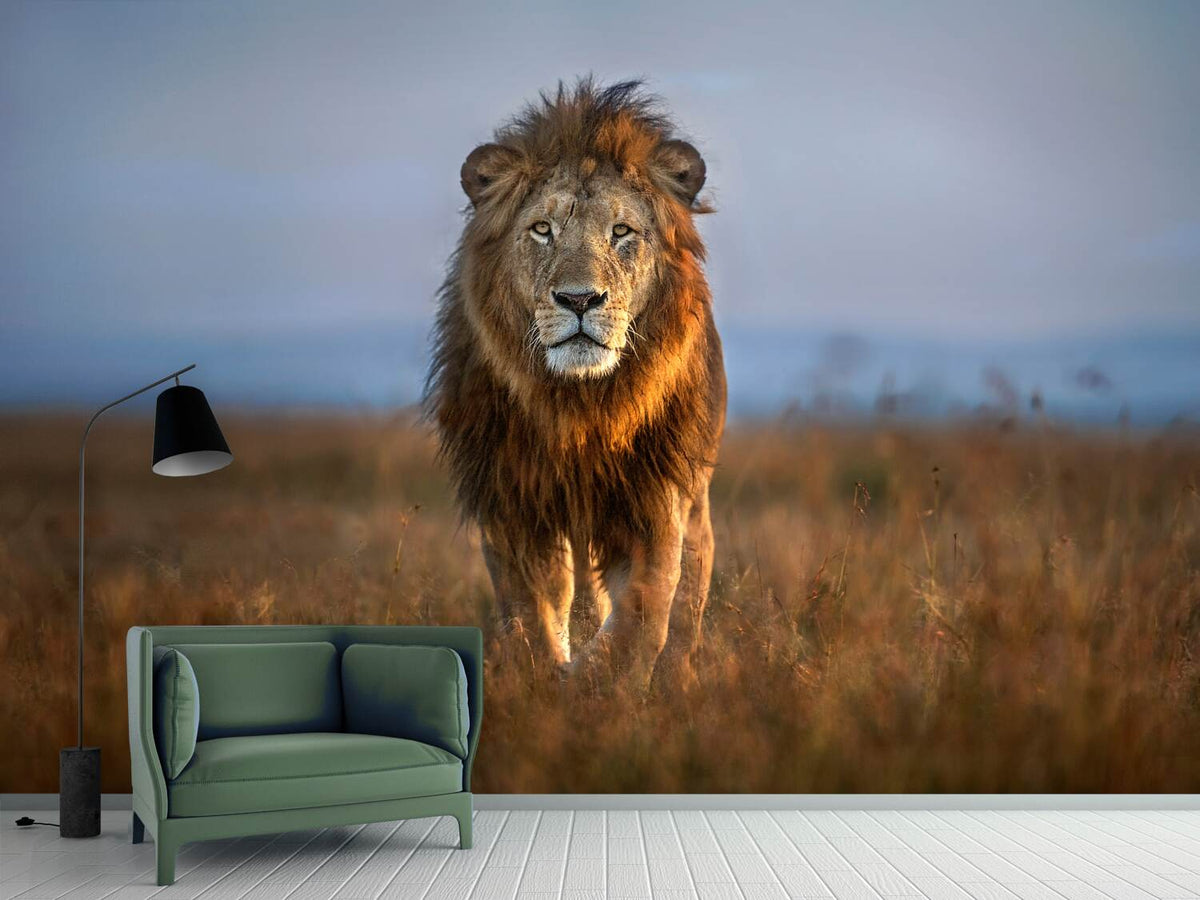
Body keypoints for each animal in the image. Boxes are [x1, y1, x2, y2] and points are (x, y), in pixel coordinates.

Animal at [425, 79, 726, 686]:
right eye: (543, 229)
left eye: (621, 231)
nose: (580, 300)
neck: (581, 406)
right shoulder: (511, 500)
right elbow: (531, 610)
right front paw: (547, 679)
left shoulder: (654, 497)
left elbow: (643, 613)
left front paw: (599, 685)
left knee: (688, 595)